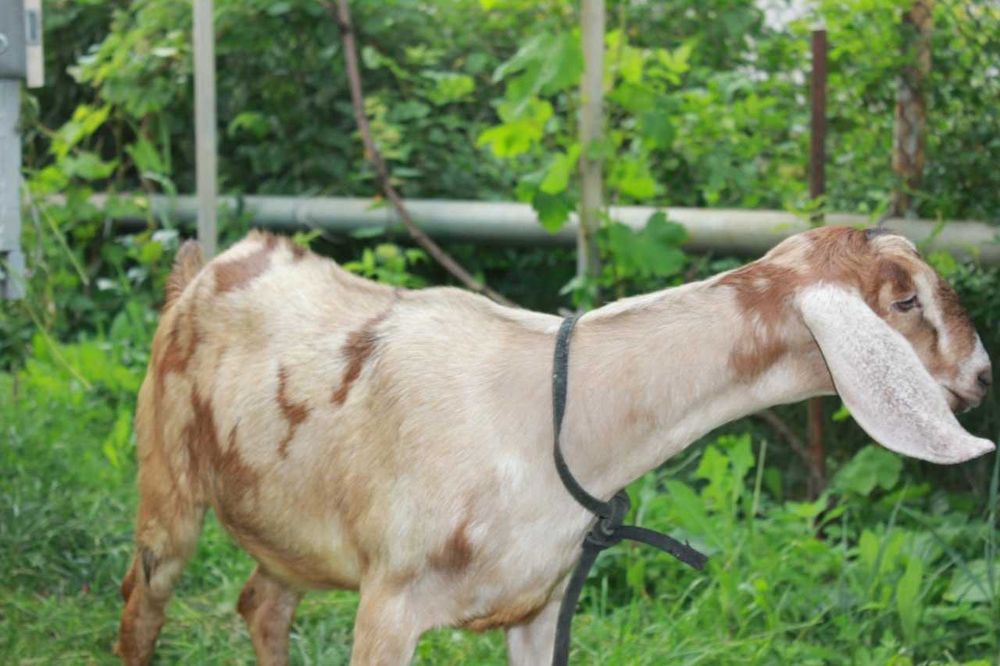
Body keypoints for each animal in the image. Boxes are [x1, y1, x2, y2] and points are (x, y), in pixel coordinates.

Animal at [116, 226, 994, 665]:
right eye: (905, 301)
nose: (984, 374)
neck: (553, 416)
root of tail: (204, 268)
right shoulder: (390, 604)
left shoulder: (542, 606)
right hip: (165, 479)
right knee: (143, 606)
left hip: (290, 525)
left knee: (262, 606)